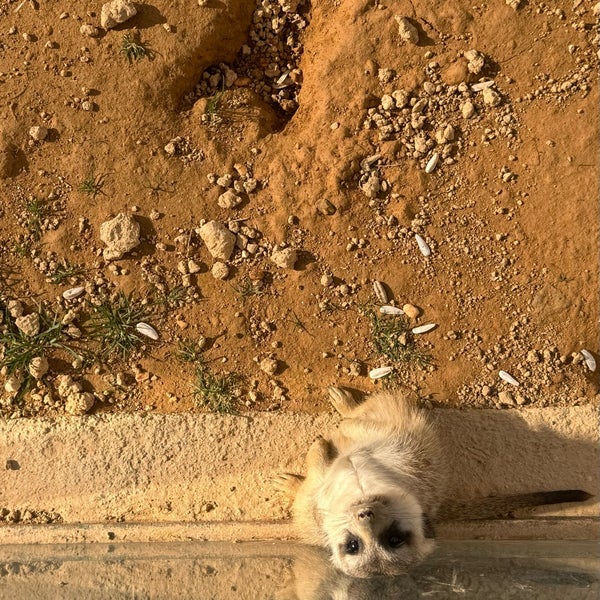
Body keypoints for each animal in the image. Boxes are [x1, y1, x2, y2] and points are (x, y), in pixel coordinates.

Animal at [276, 386, 592, 580]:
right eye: (353, 545)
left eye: (393, 539)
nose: (365, 514)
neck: (362, 483)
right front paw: (320, 451)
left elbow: (315, 478)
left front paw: (317, 449)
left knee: (367, 410)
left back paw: (344, 405)